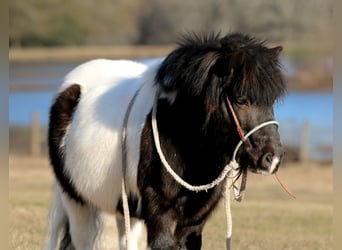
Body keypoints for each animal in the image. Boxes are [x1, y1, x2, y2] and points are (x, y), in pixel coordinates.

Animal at [44, 33, 286, 250]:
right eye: (241, 100)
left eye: (271, 101)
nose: (272, 158)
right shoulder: (158, 214)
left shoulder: (194, 221)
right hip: (78, 203)